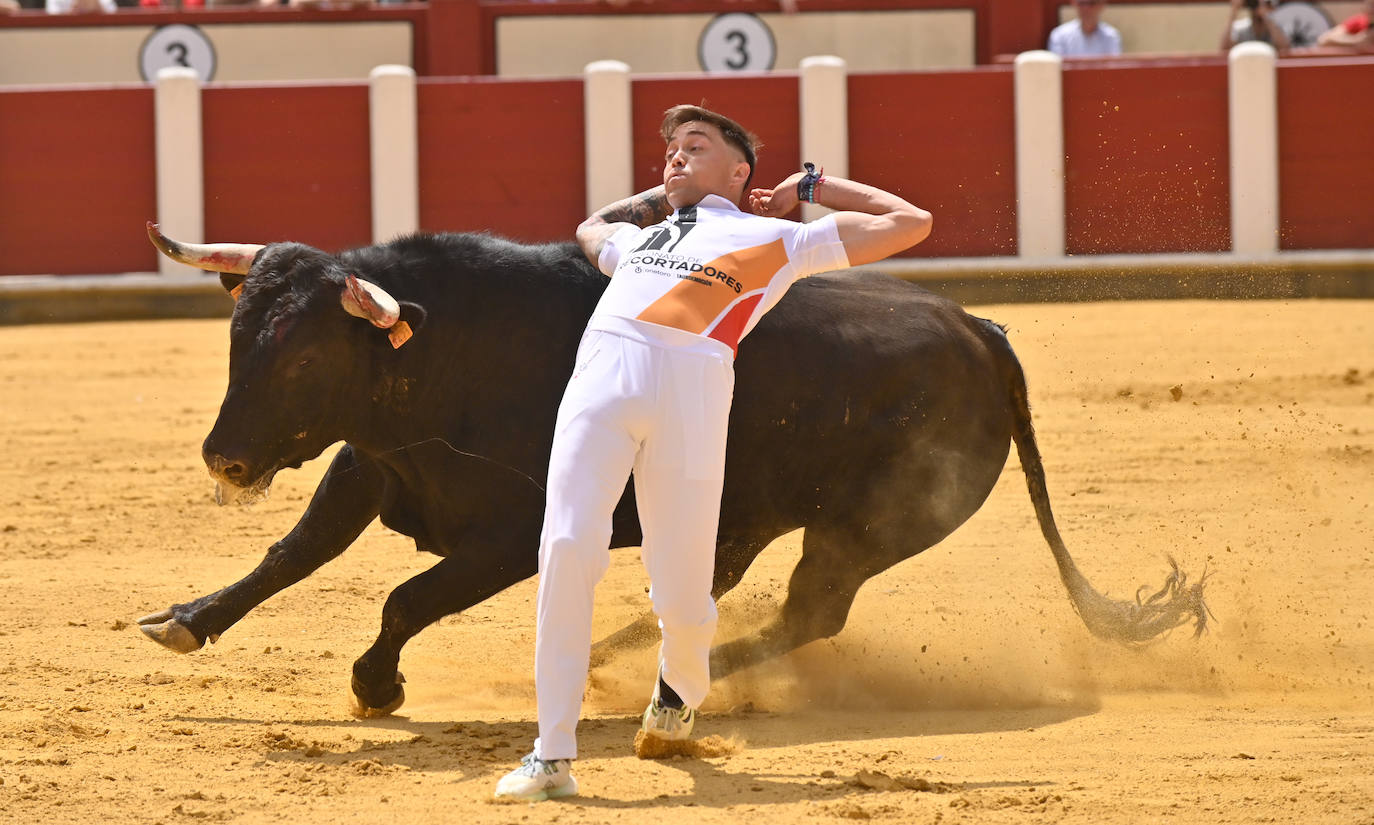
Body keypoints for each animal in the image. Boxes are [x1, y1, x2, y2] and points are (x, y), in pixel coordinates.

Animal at [139, 226, 1209, 715]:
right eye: (239, 336)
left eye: (306, 358)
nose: (226, 456)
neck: (442, 350)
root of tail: (981, 331)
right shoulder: (369, 470)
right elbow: (290, 555)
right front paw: (185, 620)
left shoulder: (511, 535)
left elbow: (406, 596)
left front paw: (376, 684)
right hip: (766, 515)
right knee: (730, 592)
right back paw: (624, 658)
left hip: (867, 527)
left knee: (810, 613)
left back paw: (661, 683)